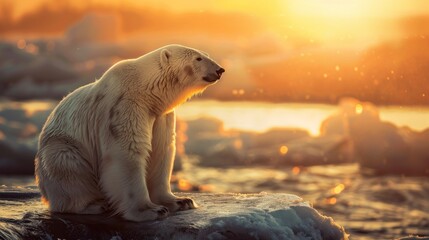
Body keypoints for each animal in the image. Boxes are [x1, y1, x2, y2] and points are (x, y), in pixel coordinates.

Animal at [35, 44, 226, 221]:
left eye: (206, 54)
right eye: (198, 58)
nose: (220, 69)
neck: (146, 89)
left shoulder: (161, 115)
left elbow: (162, 151)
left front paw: (181, 201)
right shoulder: (124, 106)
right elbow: (127, 153)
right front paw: (151, 210)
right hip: (62, 147)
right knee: (68, 165)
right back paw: (94, 205)